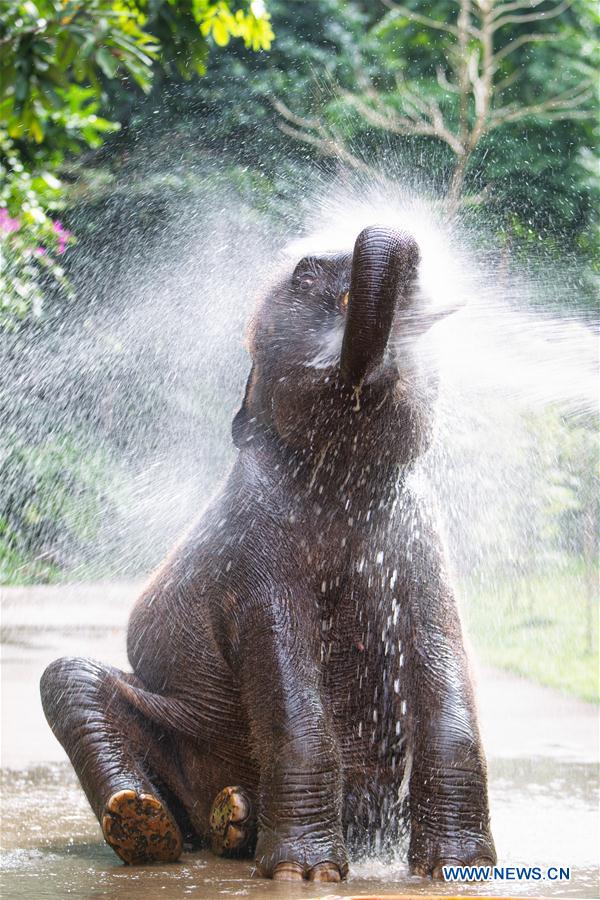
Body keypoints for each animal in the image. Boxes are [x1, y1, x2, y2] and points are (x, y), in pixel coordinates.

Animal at [40, 224, 496, 883]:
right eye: (303, 272)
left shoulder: (421, 545)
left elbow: (441, 653)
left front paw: (456, 869)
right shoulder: (253, 557)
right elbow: (282, 668)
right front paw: (305, 875)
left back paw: (236, 819)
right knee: (67, 677)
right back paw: (155, 826)